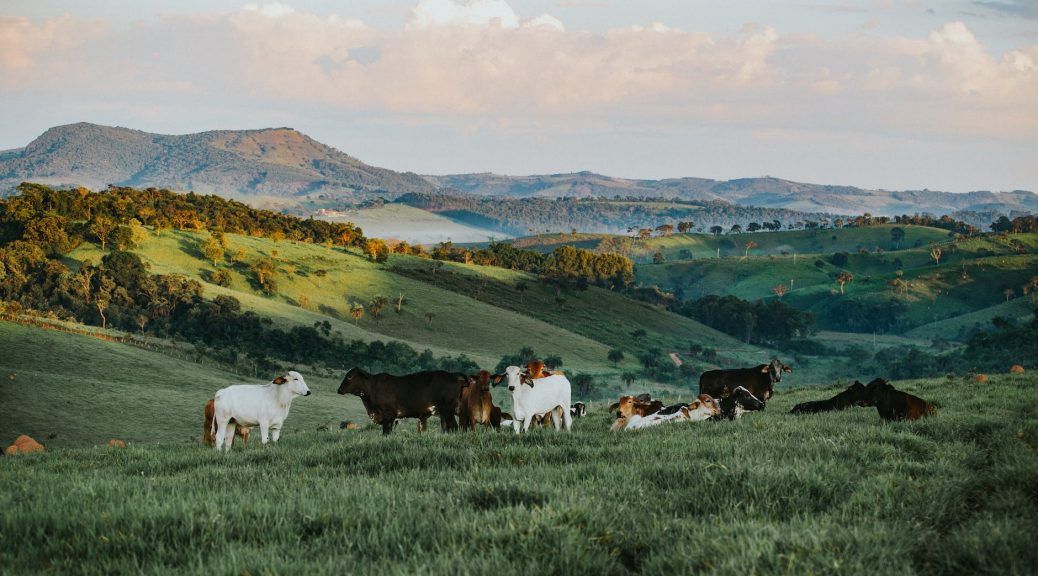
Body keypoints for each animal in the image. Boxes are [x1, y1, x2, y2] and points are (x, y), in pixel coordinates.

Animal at [338, 367, 469, 435]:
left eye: (350, 376)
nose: (339, 390)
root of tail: (453, 376)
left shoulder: (388, 416)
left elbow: (386, 431)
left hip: (448, 411)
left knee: (454, 427)